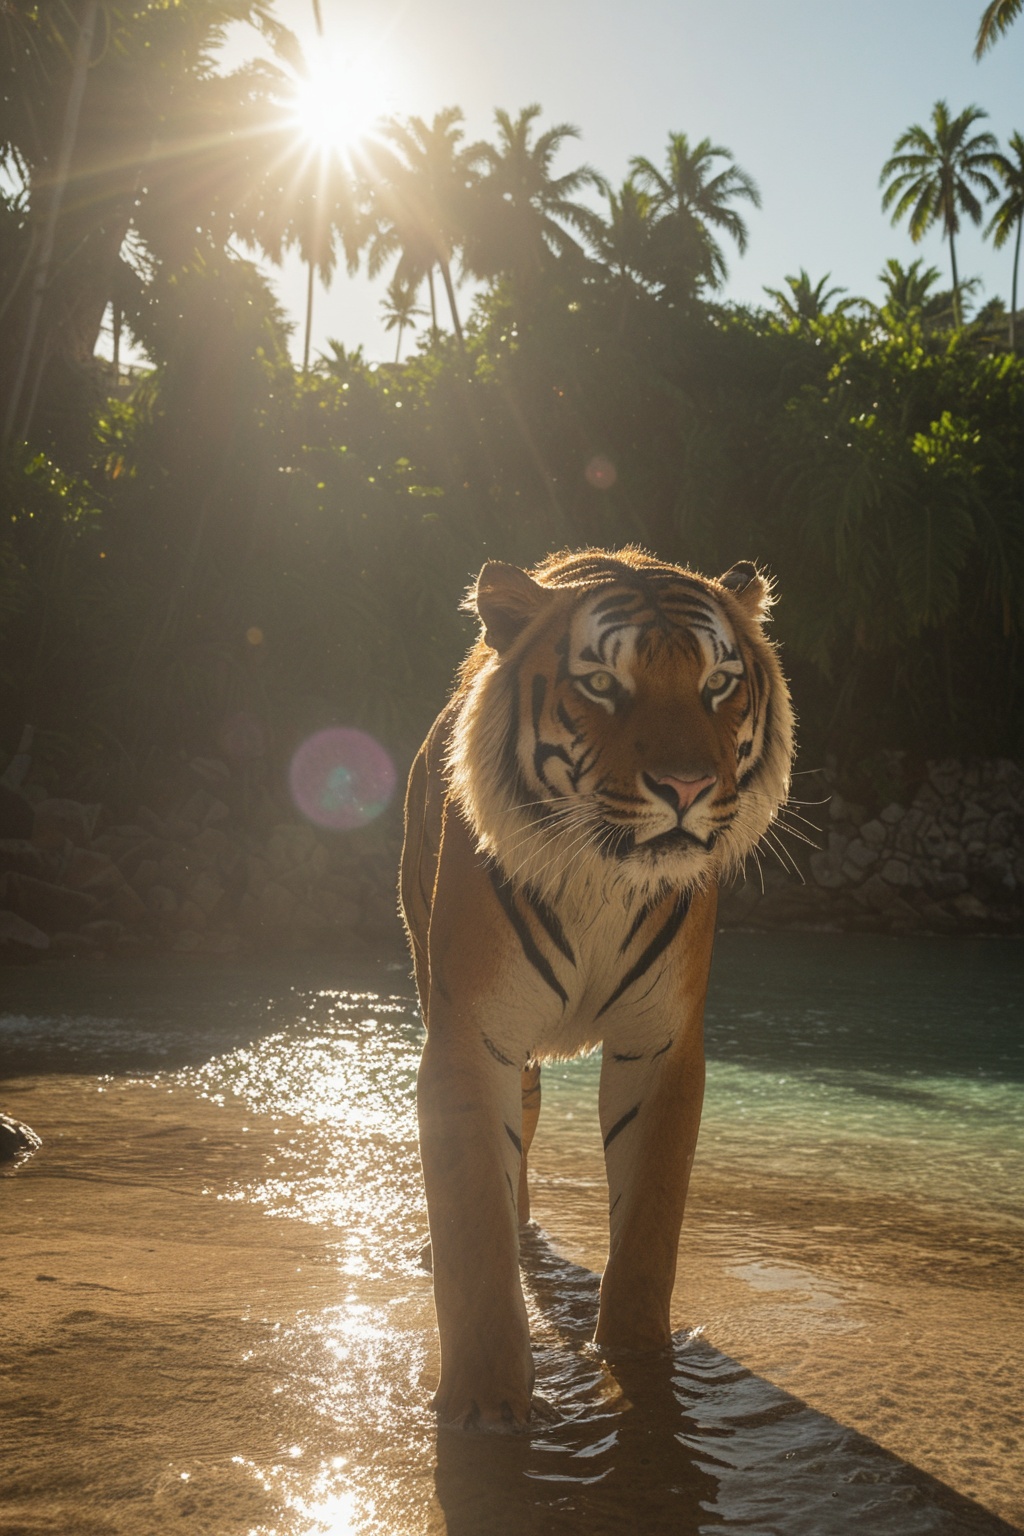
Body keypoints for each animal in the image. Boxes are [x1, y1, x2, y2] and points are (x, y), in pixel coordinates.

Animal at [400, 545, 795, 1430]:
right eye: (604, 684)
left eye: (719, 683)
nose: (685, 788)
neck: (599, 879)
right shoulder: (472, 1035)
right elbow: (473, 1225)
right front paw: (484, 1406)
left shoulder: (662, 1044)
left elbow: (650, 1221)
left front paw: (639, 1363)